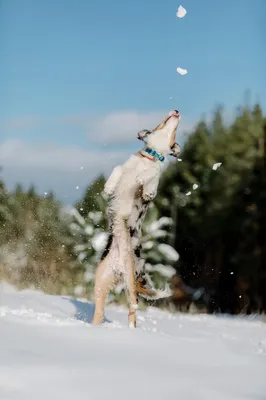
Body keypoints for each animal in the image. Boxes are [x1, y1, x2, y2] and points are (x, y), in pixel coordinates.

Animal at [91, 109, 181, 328]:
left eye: (175, 133)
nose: (176, 111)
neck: (148, 159)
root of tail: (120, 266)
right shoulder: (125, 169)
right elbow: (118, 168)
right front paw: (108, 187)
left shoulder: (146, 192)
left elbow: (151, 181)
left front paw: (147, 185)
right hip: (100, 282)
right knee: (100, 311)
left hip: (131, 286)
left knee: (133, 311)